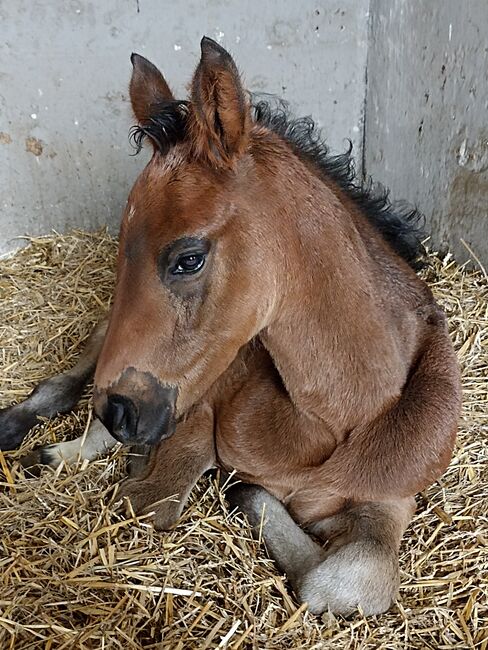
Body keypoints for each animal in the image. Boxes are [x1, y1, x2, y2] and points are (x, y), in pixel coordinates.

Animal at [0, 38, 462, 616]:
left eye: (188, 259)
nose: (120, 412)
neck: (330, 418)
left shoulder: (392, 495)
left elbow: (351, 581)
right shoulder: (196, 406)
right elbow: (152, 502)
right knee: (78, 368)